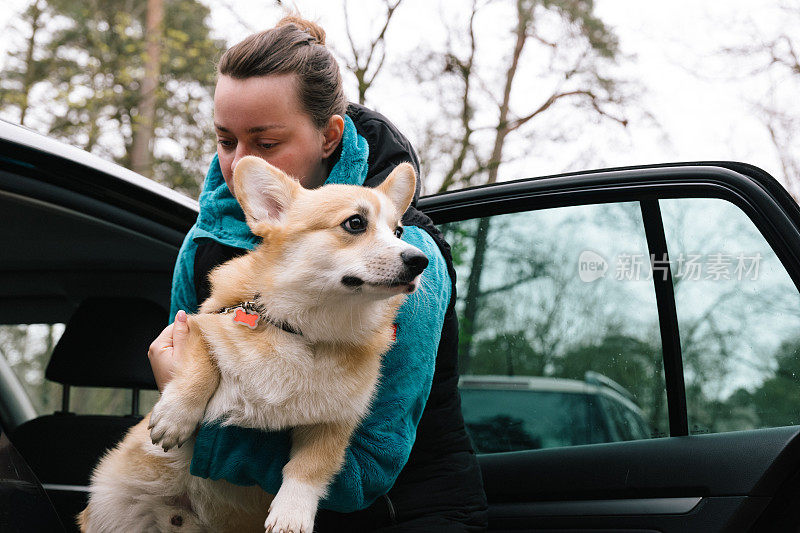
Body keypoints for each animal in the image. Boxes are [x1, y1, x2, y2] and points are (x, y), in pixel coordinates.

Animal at [79, 156, 428, 528]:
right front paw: (175, 416)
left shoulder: (335, 422)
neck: (304, 331)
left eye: (398, 232)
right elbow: (201, 365)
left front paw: (292, 514)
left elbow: (311, 467)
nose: (420, 261)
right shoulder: (197, 326)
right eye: (355, 223)